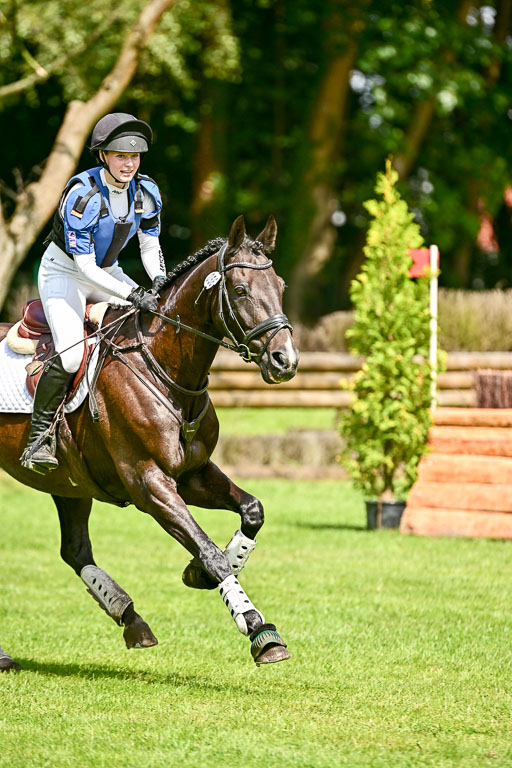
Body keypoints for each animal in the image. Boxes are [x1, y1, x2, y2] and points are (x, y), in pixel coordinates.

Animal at [0, 215, 299, 672]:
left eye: (280, 286)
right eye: (241, 290)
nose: (285, 361)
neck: (166, 371)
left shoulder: (192, 475)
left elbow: (252, 511)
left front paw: (199, 574)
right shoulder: (148, 483)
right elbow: (209, 550)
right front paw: (258, 629)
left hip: (69, 483)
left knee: (75, 550)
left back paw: (131, 619)